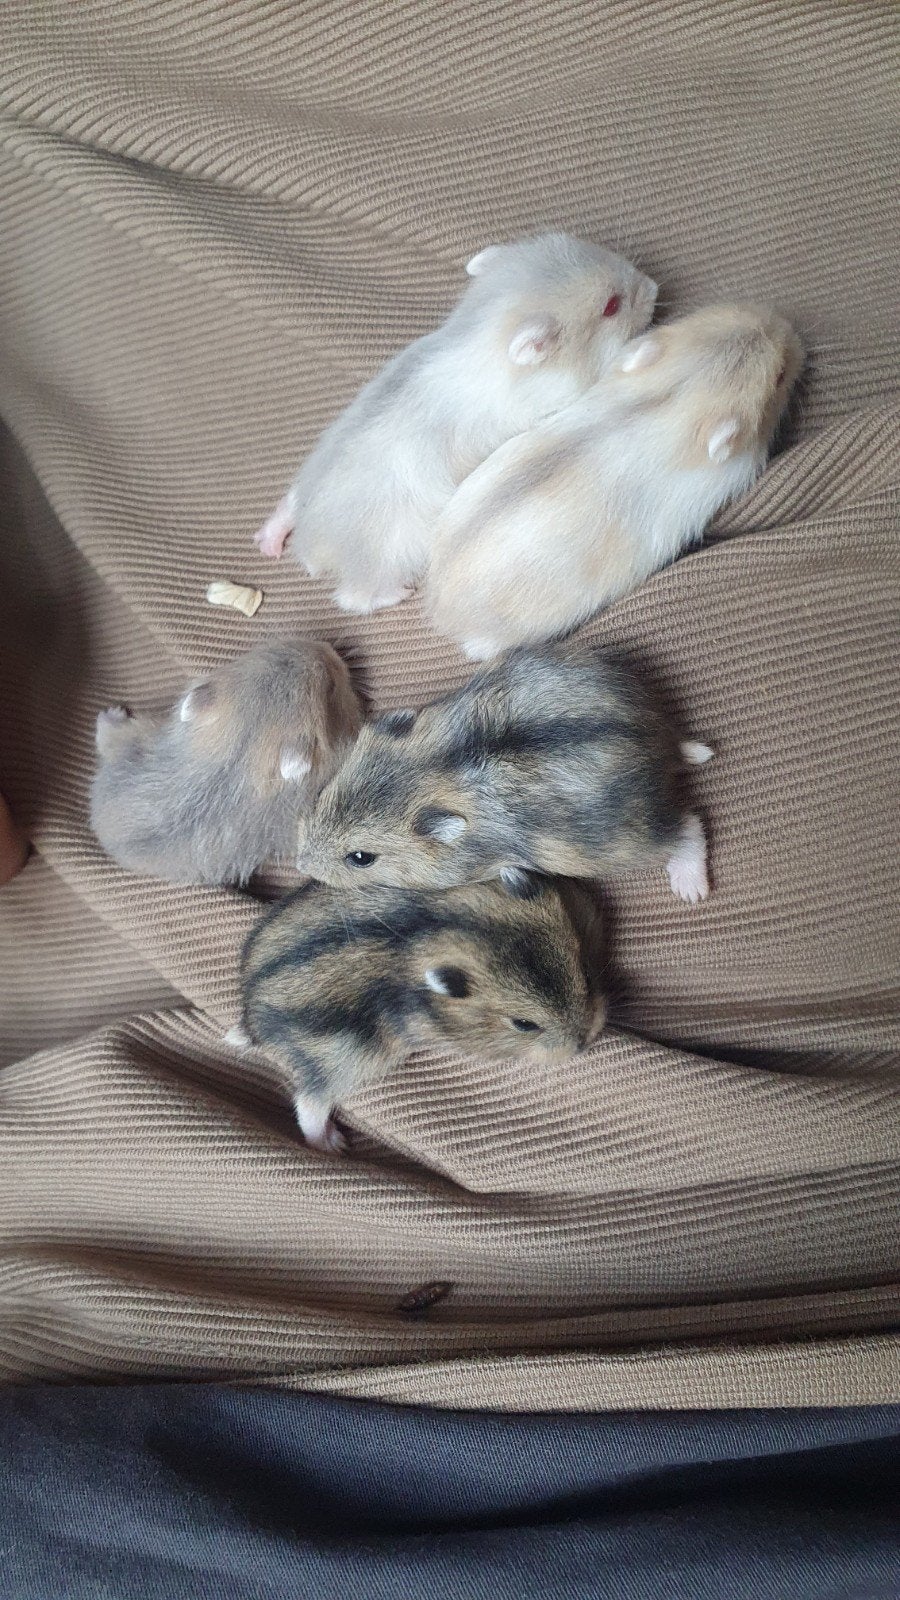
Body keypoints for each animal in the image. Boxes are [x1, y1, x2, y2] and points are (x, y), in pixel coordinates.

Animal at [237, 874, 606, 1151]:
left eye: (588, 975)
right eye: (524, 1024)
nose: (585, 1042)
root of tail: (251, 1016)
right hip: (340, 1060)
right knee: (309, 1102)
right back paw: (334, 1144)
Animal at [253, 232, 658, 614]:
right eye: (611, 307)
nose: (655, 287)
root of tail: (310, 546)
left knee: (286, 506)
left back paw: (267, 541)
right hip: (392, 553)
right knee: (355, 598)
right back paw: (400, 592)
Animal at [296, 643, 714, 905]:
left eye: (361, 858)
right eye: (322, 793)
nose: (300, 864)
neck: (427, 771)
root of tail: (660, 743)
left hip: (622, 846)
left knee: (689, 826)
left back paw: (691, 890)